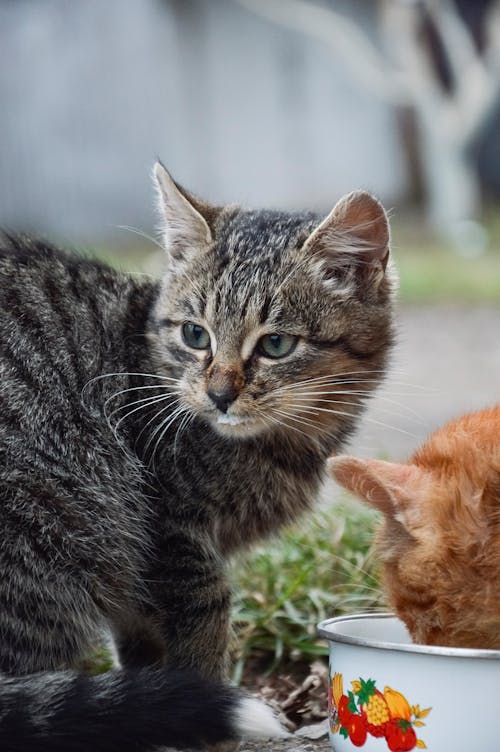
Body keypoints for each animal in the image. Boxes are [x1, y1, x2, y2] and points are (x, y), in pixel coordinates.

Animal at [0, 162, 394, 748]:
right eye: (195, 335)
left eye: (276, 345)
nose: (220, 394)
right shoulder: (170, 533)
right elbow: (205, 619)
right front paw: (202, 715)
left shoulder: (138, 572)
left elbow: (141, 644)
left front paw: (152, 713)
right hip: (53, 521)